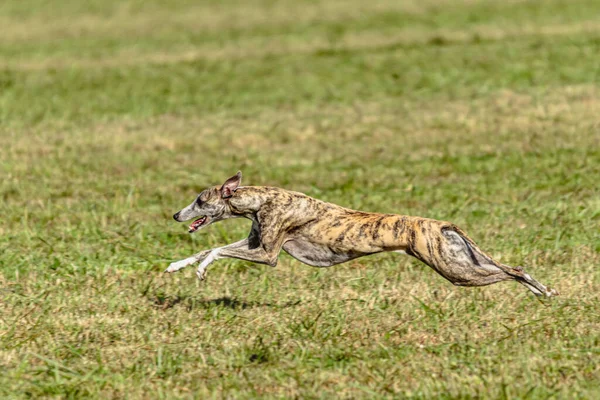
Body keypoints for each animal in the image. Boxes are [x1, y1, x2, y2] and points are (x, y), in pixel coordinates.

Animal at [165, 172, 556, 296]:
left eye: (200, 200)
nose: (175, 214)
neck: (263, 199)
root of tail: (440, 224)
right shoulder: (254, 242)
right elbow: (208, 249)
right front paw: (176, 266)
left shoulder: (267, 254)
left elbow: (215, 252)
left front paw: (200, 272)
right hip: (461, 260)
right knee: (514, 268)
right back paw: (544, 291)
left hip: (457, 270)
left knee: (512, 271)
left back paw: (540, 291)